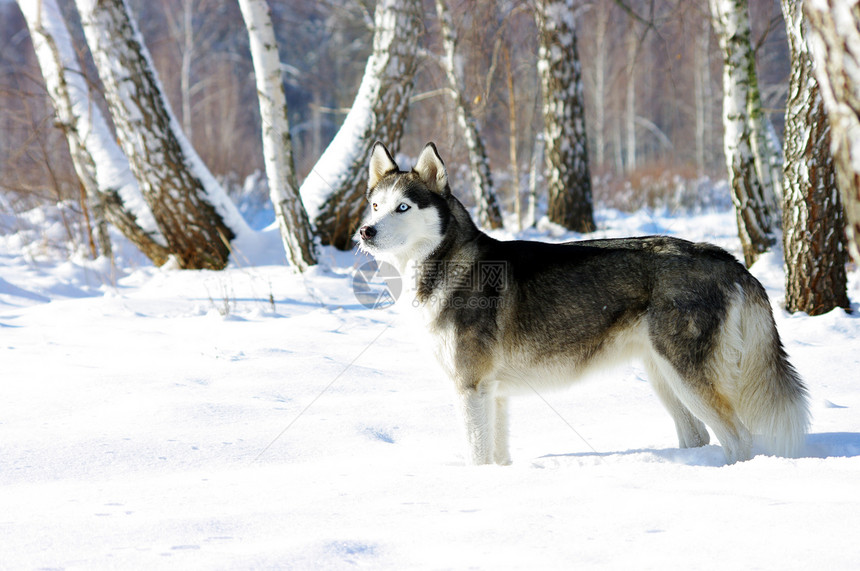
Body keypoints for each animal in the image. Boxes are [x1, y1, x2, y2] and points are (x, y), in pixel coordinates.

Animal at [354, 142, 808, 464]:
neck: (443, 263)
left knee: (740, 440)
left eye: (403, 207)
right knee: (697, 436)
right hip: (663, 375)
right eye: (375, 205)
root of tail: (729, 260)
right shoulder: (492, 394)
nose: (365, 231)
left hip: (688, 376)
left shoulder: (472, 388)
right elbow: (496, 456)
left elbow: (477, 456)